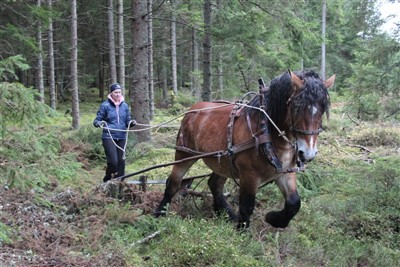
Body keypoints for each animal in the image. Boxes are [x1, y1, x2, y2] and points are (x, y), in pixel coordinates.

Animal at [155, 70, 336, 230]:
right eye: (297, 107)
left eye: (322, 110)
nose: (308, 153)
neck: (266, 129)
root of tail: (192, 109)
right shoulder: (249, 175)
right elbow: (247, 206)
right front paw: (242, 232)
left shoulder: (285, 173)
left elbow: (294, 203)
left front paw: (273, 219)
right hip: (184, 154)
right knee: (173, 183)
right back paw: (159, 214)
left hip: (224, 162)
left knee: (214, 184)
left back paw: (226, 214)